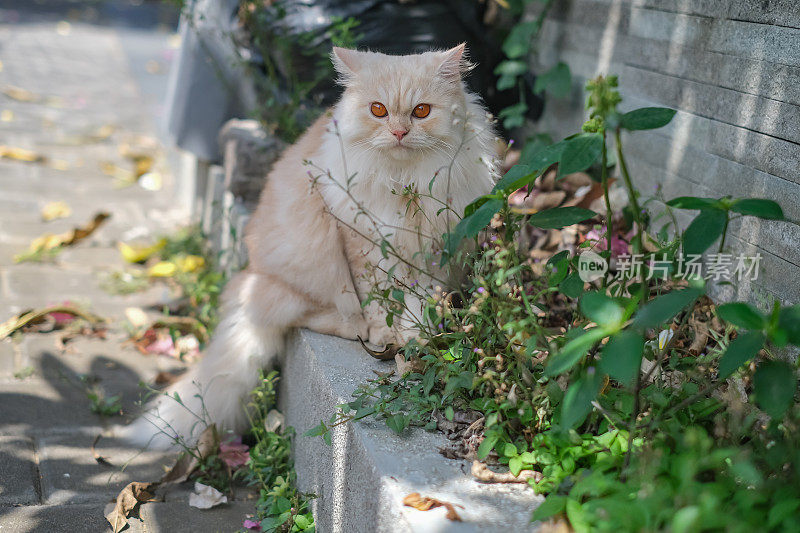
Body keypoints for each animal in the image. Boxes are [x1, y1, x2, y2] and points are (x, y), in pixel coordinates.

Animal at [123, 43, 500, 446]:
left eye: (421, 112)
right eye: (378, 110)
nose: (399, 132)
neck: (403, 182)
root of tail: (250, 278)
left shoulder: (432, 250)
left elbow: (421, 299)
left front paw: (420, 334)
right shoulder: (361, 243)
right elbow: (379, 298)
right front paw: (390, 333)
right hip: (306, 274)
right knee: (313, 316)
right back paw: (362, 332)